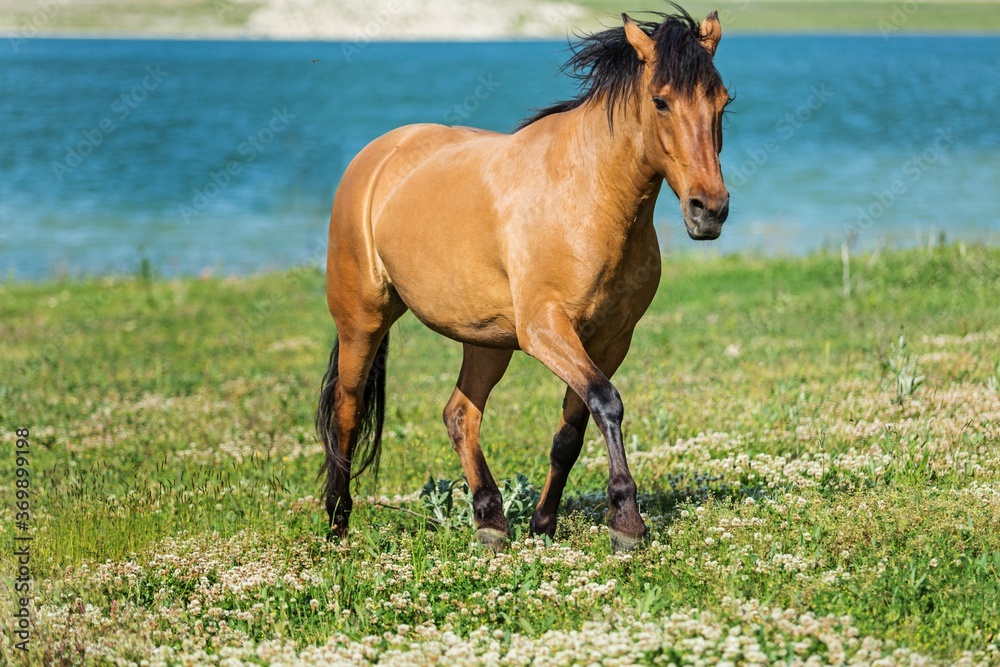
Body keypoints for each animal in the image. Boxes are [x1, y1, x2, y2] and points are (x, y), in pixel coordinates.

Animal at [316, 6, 732, 552]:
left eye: (722, 103)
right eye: (661, 101)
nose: (710, 210)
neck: (585, 196)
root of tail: (376, 157)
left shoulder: (610, 339)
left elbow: (572, 431)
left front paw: (543, 523)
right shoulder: (545, 330)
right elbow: (608, 402)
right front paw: (627, 521)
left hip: (486, 341)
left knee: (460, 416)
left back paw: (490, 520)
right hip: (362, 321)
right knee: (347, 409)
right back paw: (338, 522)